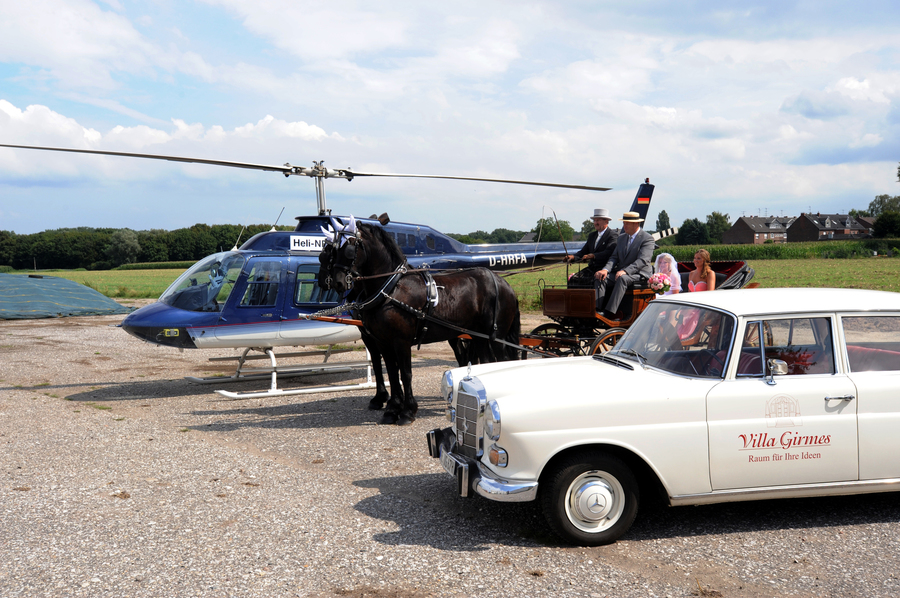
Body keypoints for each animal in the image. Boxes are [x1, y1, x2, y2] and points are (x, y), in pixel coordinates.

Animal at [320, 219, 520, 425]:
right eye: (330, 251)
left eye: (349, 248)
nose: (336, 282)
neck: (391, 289)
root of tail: (504, 284)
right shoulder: (383, 342)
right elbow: (391, 372)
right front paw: (392, 409)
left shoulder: (401, 341)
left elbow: (405, 373)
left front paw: (407, 411)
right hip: (479, 336)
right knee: (487, 363)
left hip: (496, 337)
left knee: (502, 361)